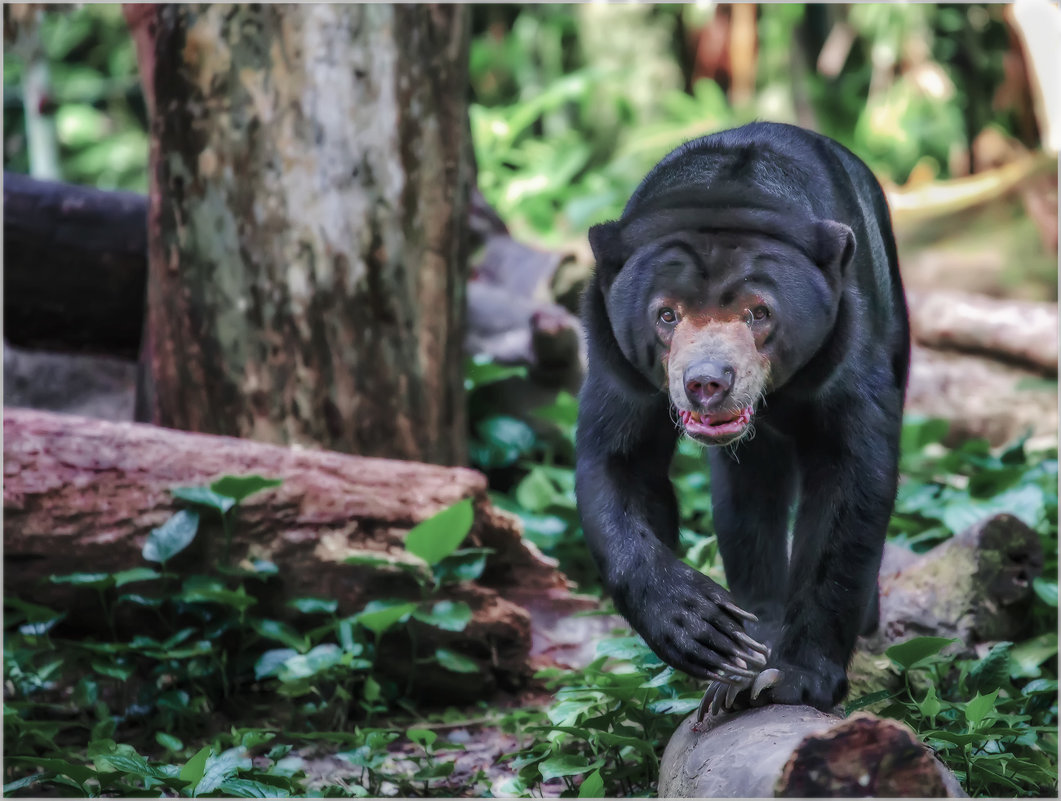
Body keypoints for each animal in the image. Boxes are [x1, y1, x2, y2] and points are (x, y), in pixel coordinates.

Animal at [577, 122, 908, 717]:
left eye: (759, 312)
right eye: (666, 314)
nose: (708, 382)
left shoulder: (849, 337)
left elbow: (850, 482)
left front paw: (794, 679)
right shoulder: (614, 354)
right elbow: (619, 463)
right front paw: (702, 629)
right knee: (745, 501)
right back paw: (747, 645)